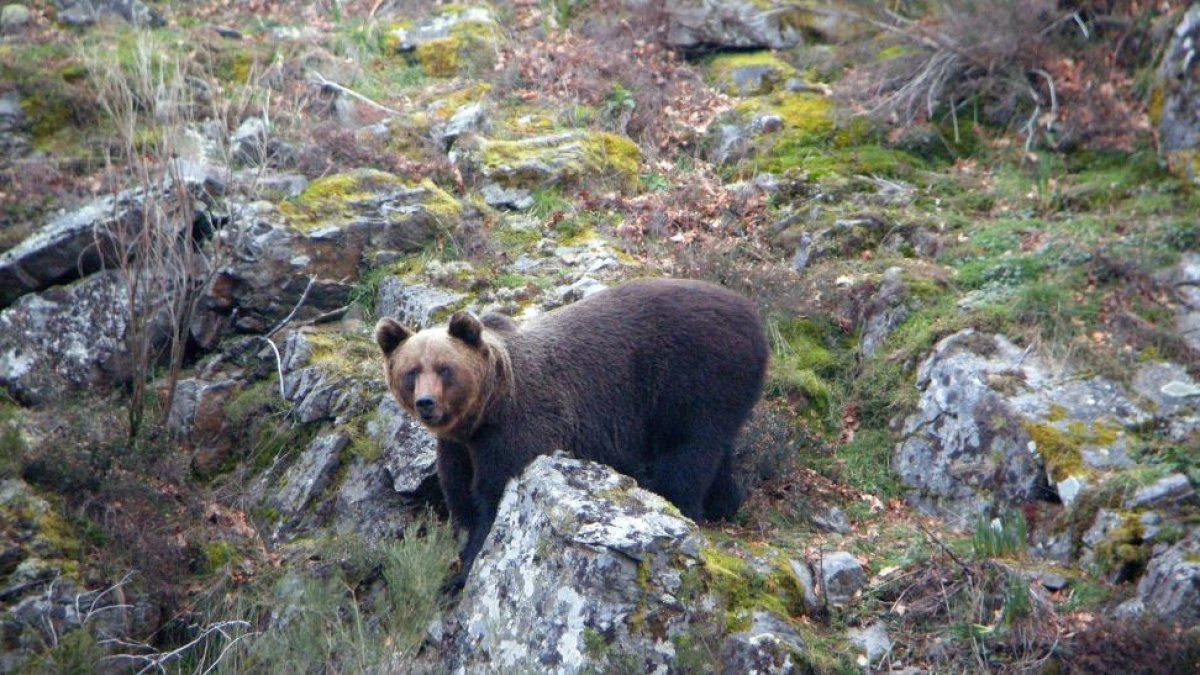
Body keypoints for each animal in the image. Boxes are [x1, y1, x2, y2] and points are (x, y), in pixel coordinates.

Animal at [375, 278, 768, 583]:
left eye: (444, 368)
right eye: (411, 371)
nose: (426, 403)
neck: (488, 410)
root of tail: (753, 314)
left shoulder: (517, 432)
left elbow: (494, 501)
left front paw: (467, 568)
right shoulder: (458, 447)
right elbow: (461, 497)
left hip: (695, 379)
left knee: (686, 453)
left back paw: (682, 505)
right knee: (717, 452)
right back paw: (725, 504)